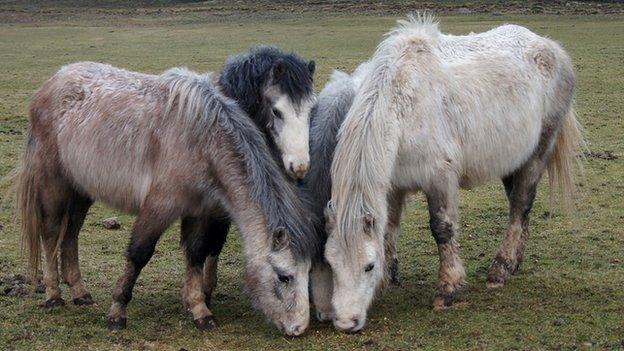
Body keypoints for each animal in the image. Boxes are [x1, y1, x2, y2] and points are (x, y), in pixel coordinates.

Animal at [18, 49, 316, 336]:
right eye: (284, 276)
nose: (298, 328)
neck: (202, 141)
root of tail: (52, 82)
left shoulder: (201, 212)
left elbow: (197, 254)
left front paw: (200, 309)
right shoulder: (160, 206)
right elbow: (139, 253)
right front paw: (117, 312)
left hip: (81, 190)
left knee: (71, 234)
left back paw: (80, 293)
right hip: (54, 185)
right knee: (51, 232)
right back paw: (53, 295)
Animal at [324, 14, 584, 332]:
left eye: (368, 266)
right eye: (330, 263)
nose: (346, 322)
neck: (405, 102)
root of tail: (552, 48)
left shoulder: (440, 178)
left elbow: (442, 229)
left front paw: (447, 289)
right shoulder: (393, 185)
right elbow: (389, 229)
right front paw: (387, 282)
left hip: (538, 153)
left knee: (520, 206)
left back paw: (499, 269)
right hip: (513, 161)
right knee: (519, 209)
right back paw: (515, 263)